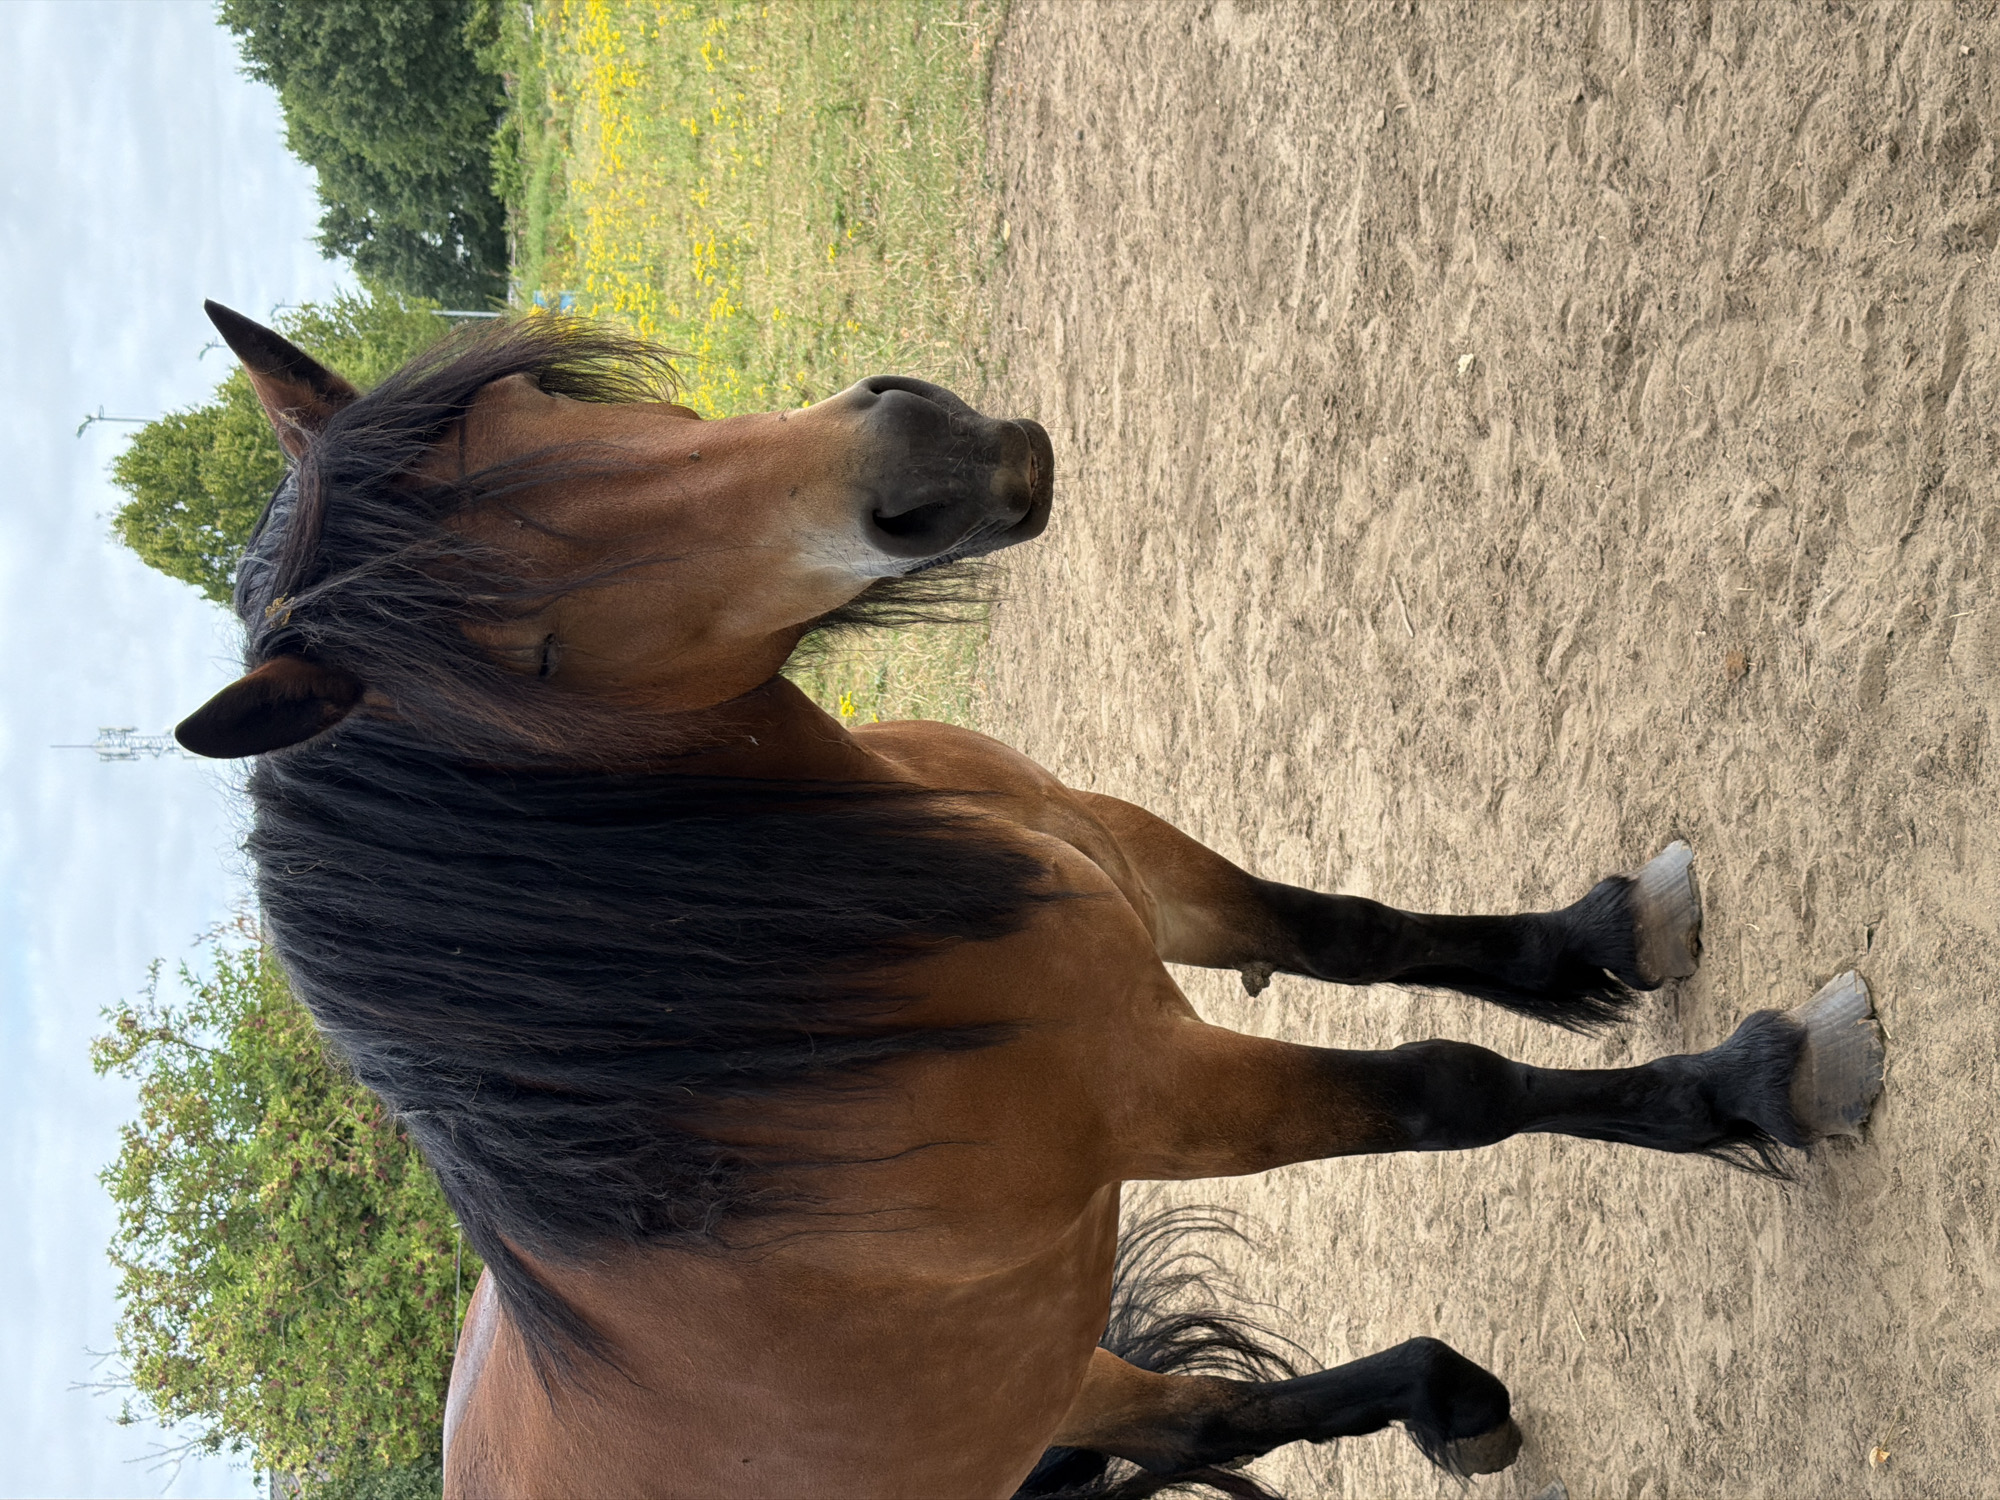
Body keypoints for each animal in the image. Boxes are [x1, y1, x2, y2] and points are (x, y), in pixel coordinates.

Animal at [175, 300, 1885, 1498]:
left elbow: (1338, 927)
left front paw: (1599, 939)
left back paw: (1445, 1396)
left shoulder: (1125, 855)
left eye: (534, 400)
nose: (919, 464)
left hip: (1051, 1367)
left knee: (1206, 1420)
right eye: (523, 652)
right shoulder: (1164, 1095)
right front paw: (1758, 1082)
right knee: (1209, 1425)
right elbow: (1444, 1089)